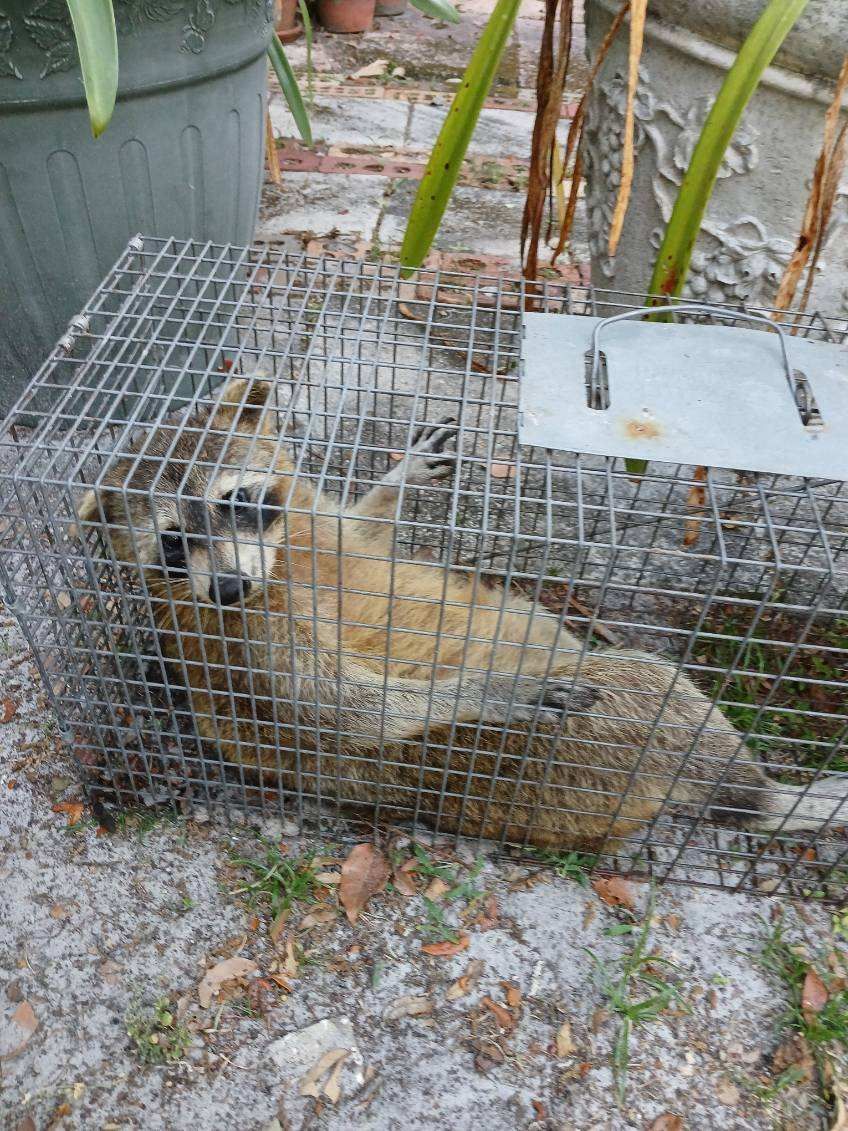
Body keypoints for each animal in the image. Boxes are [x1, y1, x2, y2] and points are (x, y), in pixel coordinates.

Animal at [76, 376, 848, 849]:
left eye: (235, 499)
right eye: (172, 541)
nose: (228, 587)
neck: (279, 560)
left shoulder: (309, 522)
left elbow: (364, 528)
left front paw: (394, 479)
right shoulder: (245, 636)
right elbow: (340, 711)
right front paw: (490, 690)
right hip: (586, 749)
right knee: (658, 689)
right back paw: (766, 796)